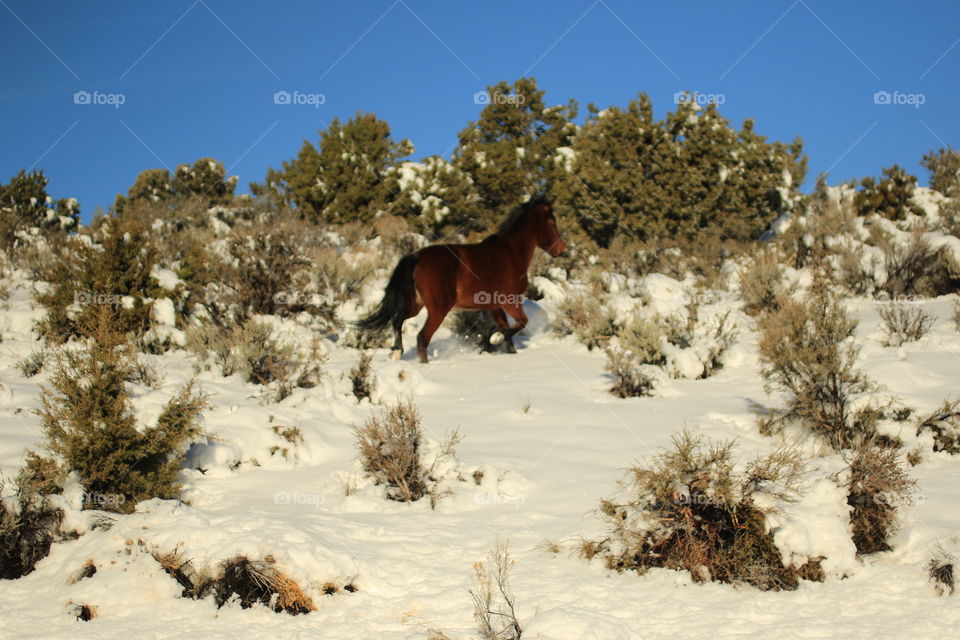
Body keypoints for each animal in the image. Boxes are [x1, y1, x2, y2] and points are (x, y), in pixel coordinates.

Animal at [356, 196, 568, 360]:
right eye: (552, 222)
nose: (561, 250)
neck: (511, 254)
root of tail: (416, 257)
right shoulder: (509, 300)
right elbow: (519, 324)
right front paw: (493, 341)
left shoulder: (495, 306)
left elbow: (505, 331)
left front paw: (497, 347)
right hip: (438, 309)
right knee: (422, 338)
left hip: (417, 304)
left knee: (398, 321)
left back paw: (395, 353)